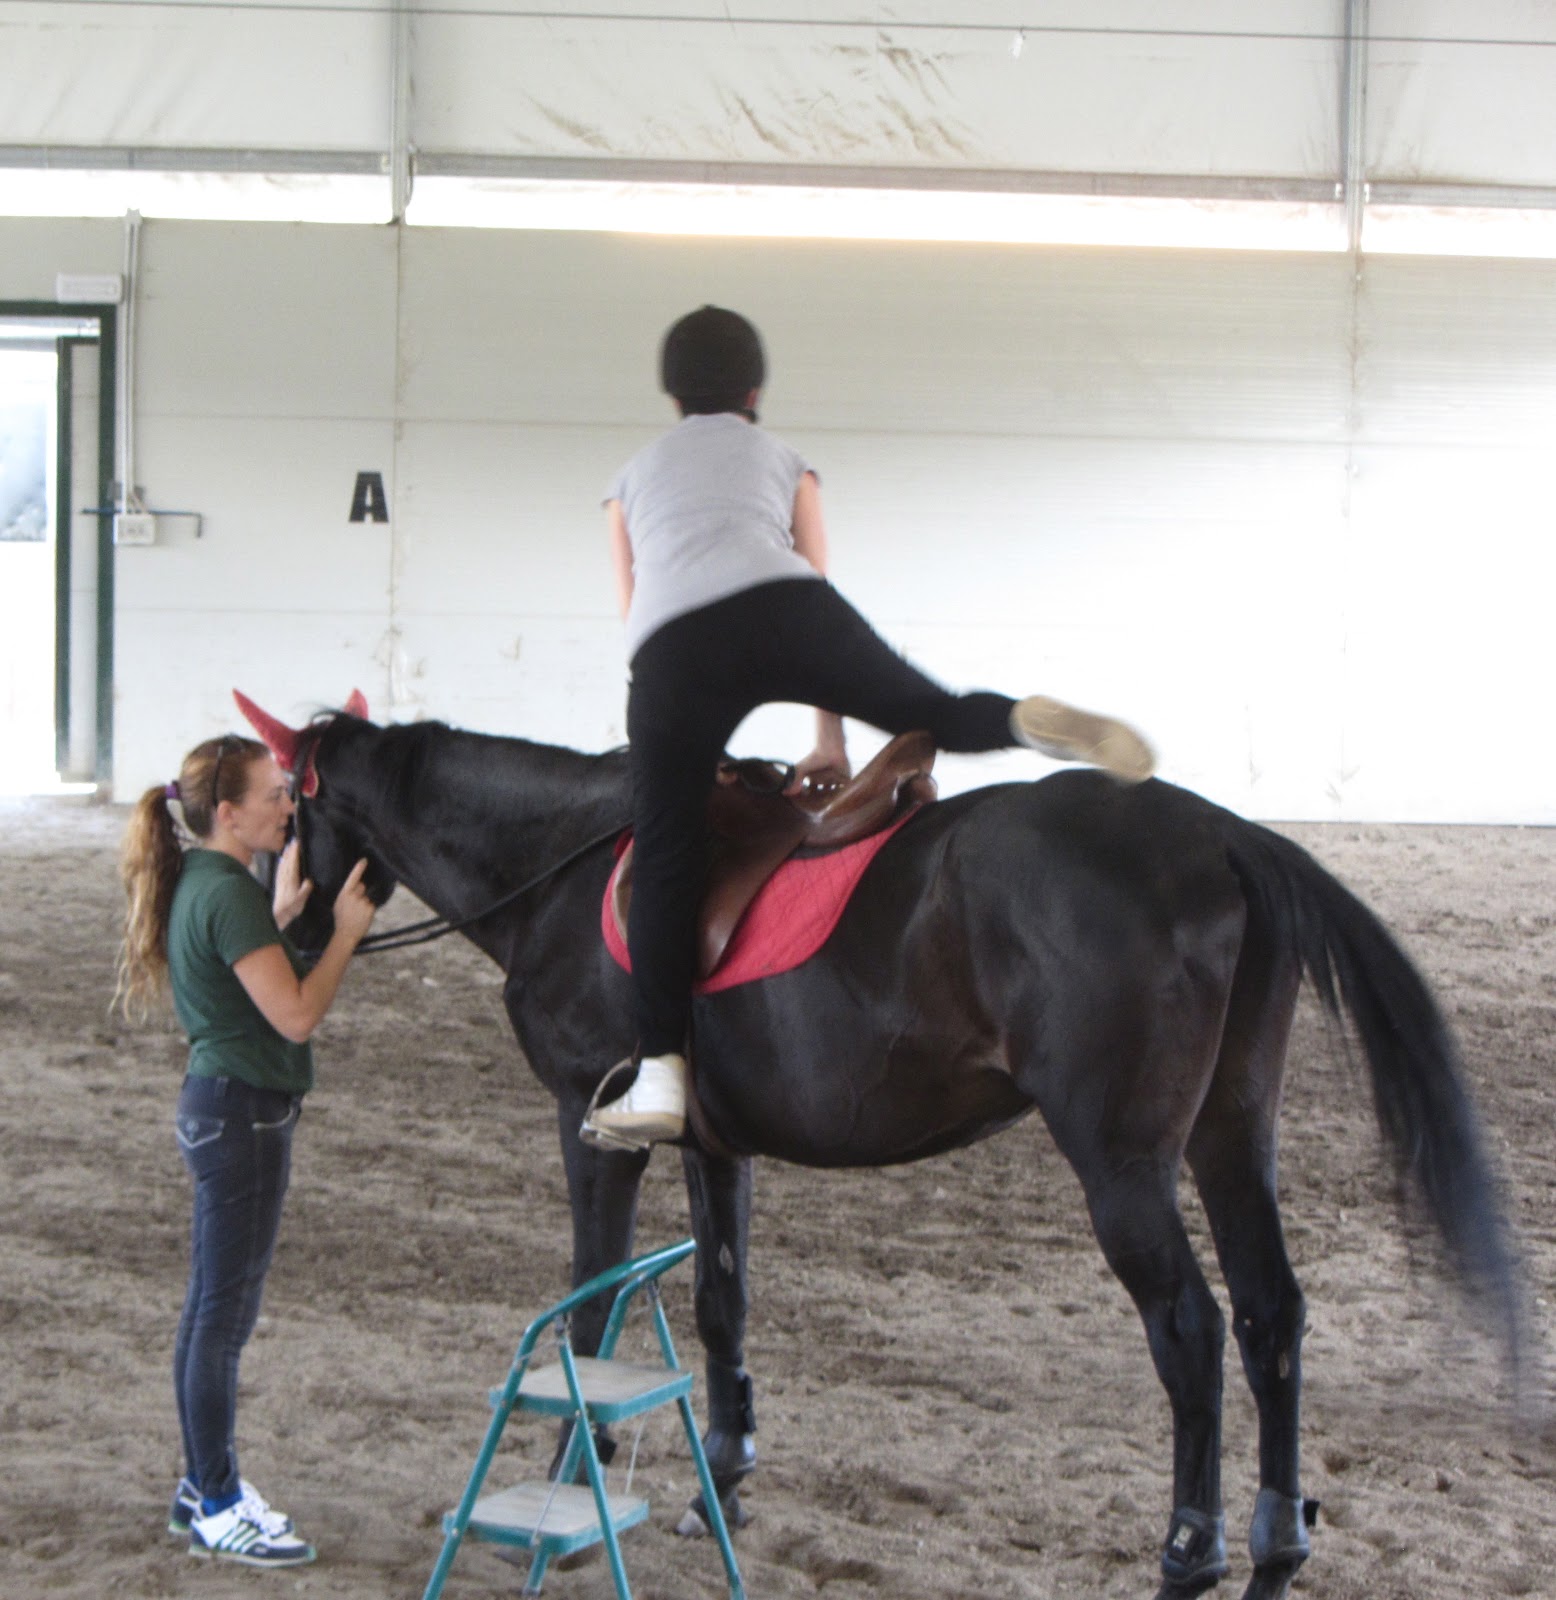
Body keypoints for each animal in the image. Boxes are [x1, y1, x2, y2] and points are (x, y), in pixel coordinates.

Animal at [236, 691, 1519, 1600]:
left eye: (287, 813)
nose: (286, 934)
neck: (567, 860)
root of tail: (1218, 835)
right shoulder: (714, 1142)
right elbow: (719, 1297)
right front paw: (722, 1480)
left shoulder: (590, 1126)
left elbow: (590, 1307)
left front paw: (560, 1495)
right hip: (1228, 1136)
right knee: (1268, 1316)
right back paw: (1269, 1552)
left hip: (1121, 1163)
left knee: (1190, 1331)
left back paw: (1185, 1556)